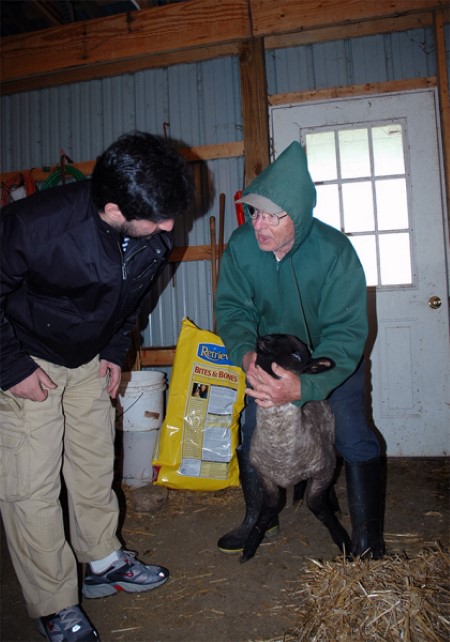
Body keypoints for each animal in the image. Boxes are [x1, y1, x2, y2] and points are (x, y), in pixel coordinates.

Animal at [241, 333, 351, 562]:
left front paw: (344, 542)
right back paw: (297, 497)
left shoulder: (323, 470)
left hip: (331, 451)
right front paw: (249, 548)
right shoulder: (264, 476)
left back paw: (334, 507)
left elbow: (317, 505)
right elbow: (268, 508)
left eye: (296, 356)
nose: (265, 339)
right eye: (276, 335)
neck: (282, 448)